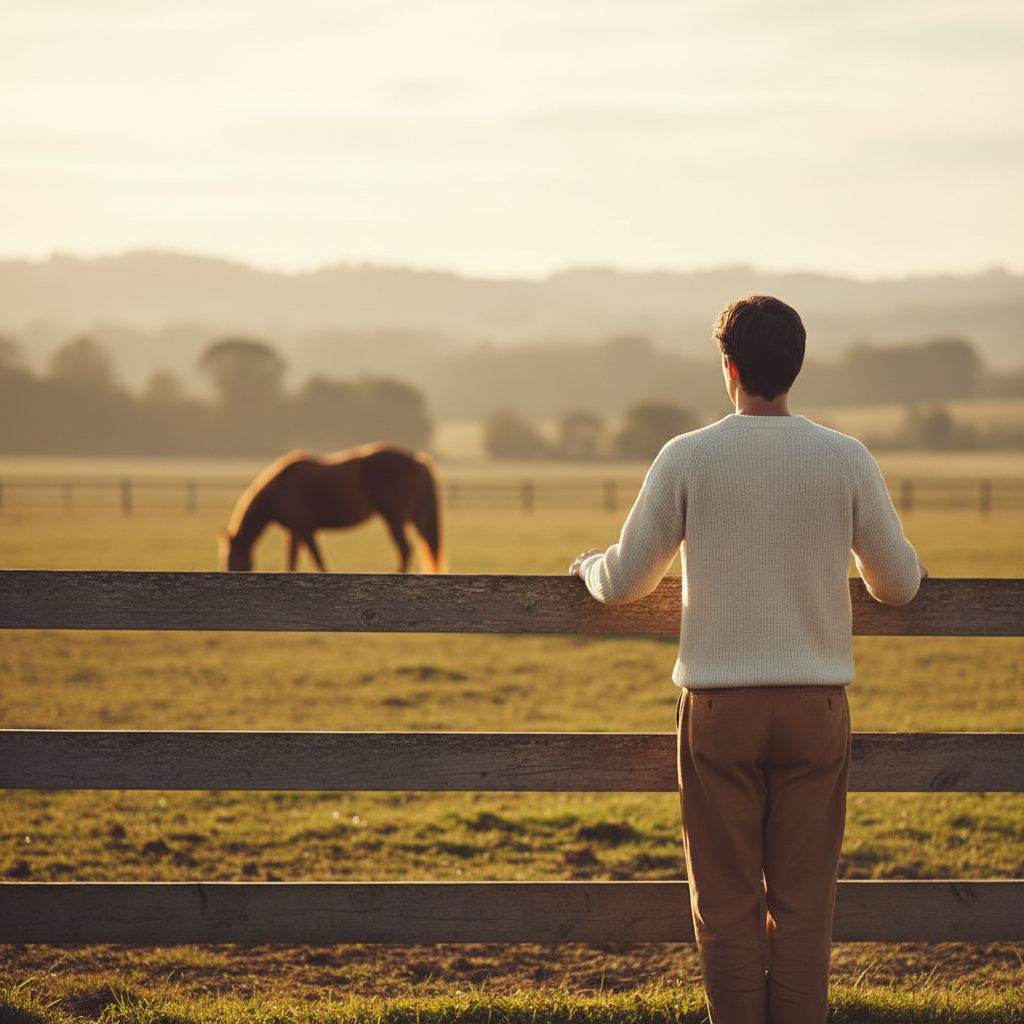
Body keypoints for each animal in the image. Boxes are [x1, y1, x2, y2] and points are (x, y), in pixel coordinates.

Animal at [220, 443, 444, 573]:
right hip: (414, 519)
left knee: (405, 549)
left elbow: (310, 561)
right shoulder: (301, 532)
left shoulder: (301, 529)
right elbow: (304, 560)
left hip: (395, 520)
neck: (279, 487)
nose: (229, 572)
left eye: (230, 560)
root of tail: (416, 460)